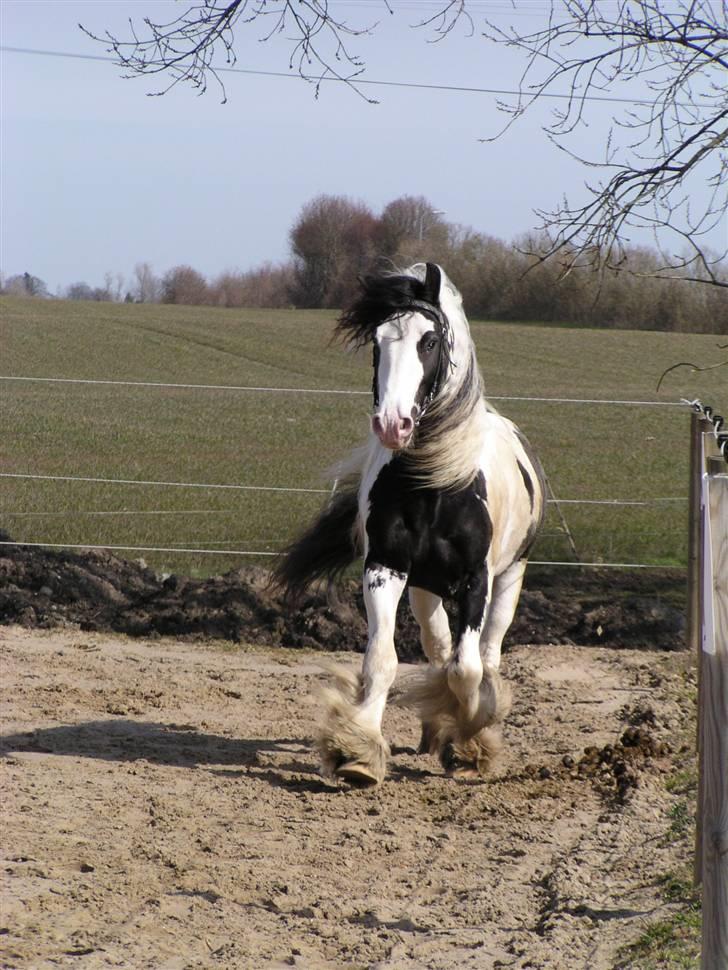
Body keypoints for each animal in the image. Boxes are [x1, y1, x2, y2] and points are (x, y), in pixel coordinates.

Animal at [274, 260, 544, 784]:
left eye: (430, 340)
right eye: (378, 342)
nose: (392, 424)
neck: (435, 483)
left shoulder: (476, 580)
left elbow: (467, 668)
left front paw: (472, 741)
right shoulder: (386, 568)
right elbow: (383, 660)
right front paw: (356, 752)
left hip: (511, 577)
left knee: (488, 654)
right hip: (425, 589)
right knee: (437, 646)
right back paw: (433, 729)